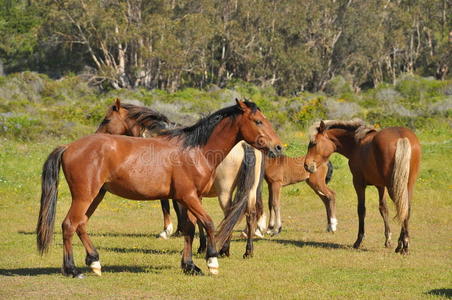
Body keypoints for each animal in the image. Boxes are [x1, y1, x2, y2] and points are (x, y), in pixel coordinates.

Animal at [37, 99, 282, 278]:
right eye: (258, 121)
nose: (278, 147)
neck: (194, 150)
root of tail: (69, 146)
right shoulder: (189, 197)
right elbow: (208, 223)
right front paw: (211, 260)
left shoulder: (188, 199)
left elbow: (190, 229)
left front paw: (190, 265)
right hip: (84, 196)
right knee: (69, 225)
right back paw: (72, 269)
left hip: (96, 195)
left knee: (81, 224)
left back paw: (94, 262)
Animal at [304, 119, 420, 253]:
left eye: (314, 143)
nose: (306, 165)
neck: (356, 144)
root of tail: (401, 137)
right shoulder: (380, 186)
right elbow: (383, 209)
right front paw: (388, 240)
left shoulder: (358, 183)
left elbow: (361, 210)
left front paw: (359, 240)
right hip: (407, 185)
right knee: (406, 209)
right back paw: (401, 245)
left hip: (394, 186)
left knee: (402, 208)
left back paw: (404, 245)